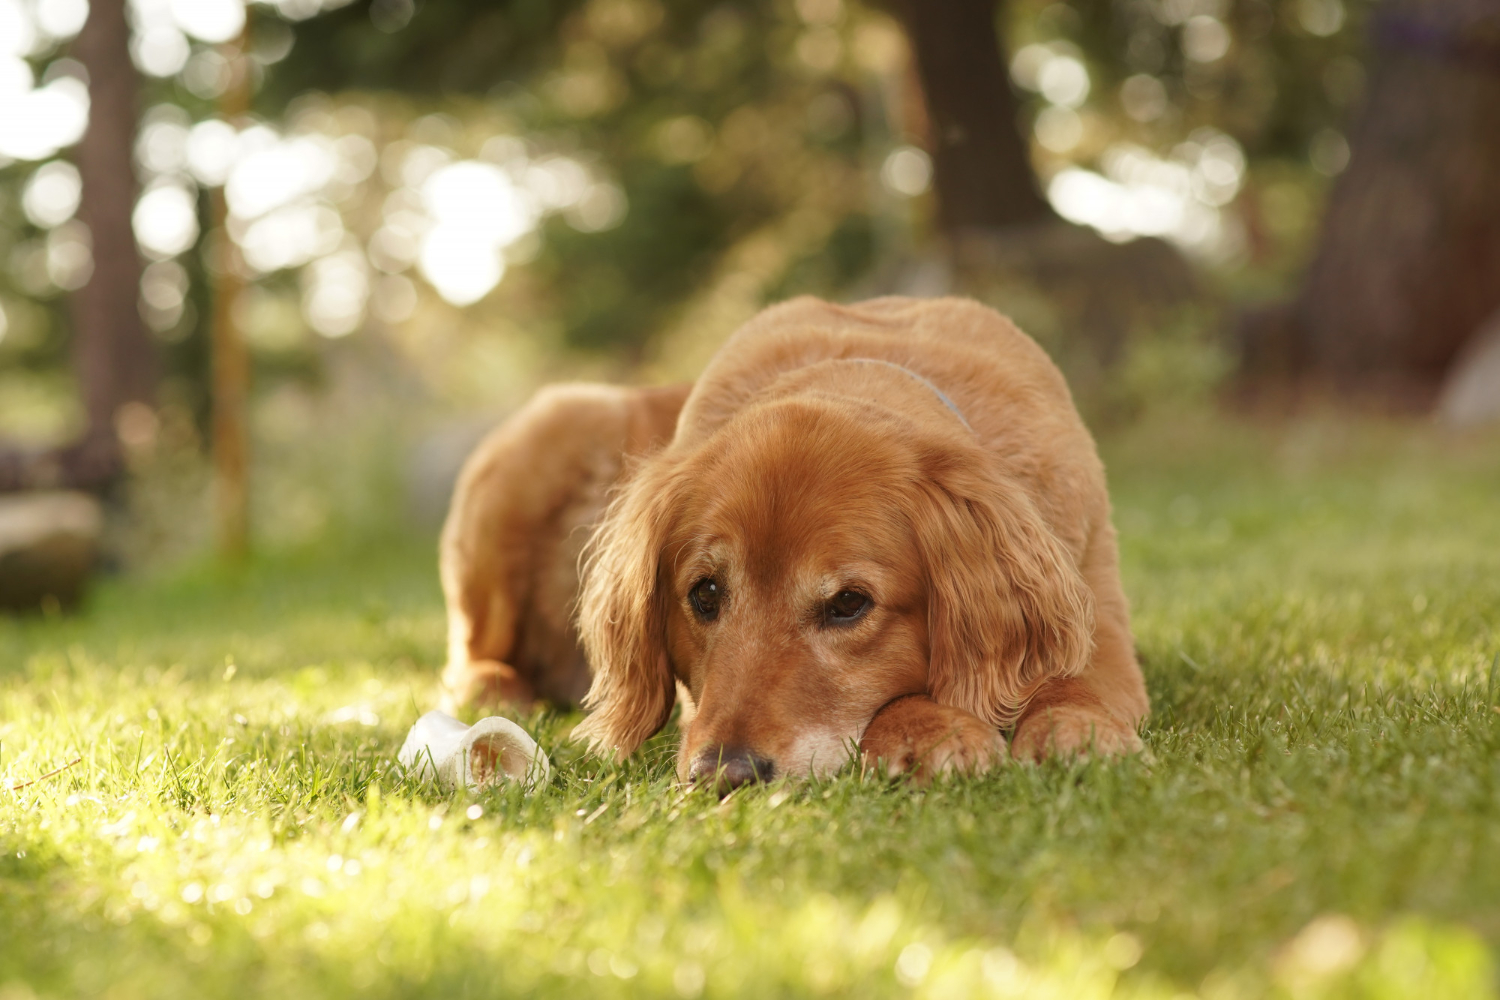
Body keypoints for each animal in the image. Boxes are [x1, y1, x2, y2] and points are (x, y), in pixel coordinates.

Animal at [435, 296, 1146, 791]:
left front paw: (1072, 727)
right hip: (552, 430)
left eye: (849, 603)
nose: (725, 776)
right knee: (467, 653)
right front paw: (929, 729)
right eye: (704, 593)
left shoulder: (1099, 616)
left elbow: (1078, 676)